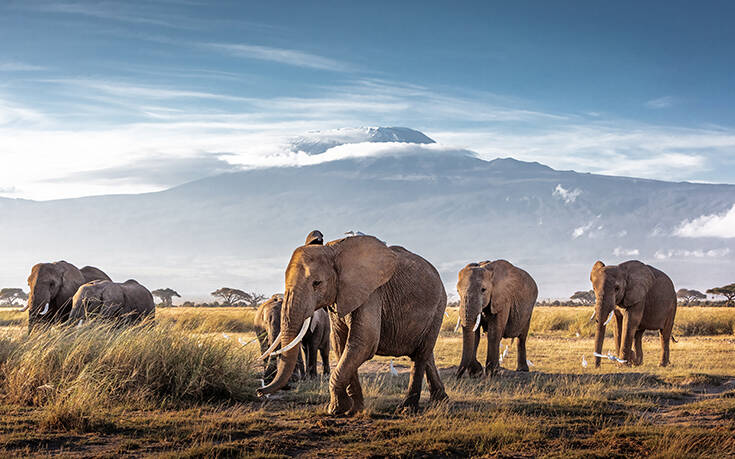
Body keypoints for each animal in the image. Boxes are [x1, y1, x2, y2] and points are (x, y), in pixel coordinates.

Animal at [256, 235, 446, 416]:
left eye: (317, 283)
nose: (259, 391)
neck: (333, 250)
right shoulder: (339, 297)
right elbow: (341, 343)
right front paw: (354, 410)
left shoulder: (371, 293)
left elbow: (363, 342)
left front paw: (336, 410)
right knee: (426, 353)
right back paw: (440, 400)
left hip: (438, 306)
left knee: (420, 356)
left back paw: (407, 409)